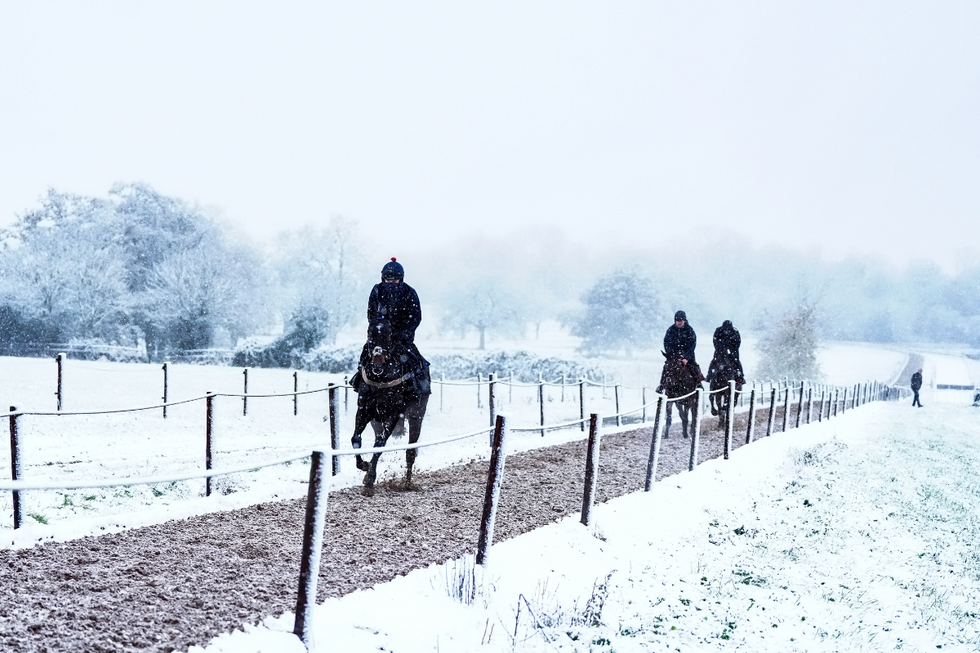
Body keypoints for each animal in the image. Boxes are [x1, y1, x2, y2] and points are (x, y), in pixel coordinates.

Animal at [352, 318, 428, 492]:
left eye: (388, 335)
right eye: (370, 334)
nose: (377, 365)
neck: (380, 380)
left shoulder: (393, 415)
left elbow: (379, 445)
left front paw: (370, 480)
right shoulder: (364, 411)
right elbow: (356, 439)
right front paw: (364, 466)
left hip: (416, 417)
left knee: (410, 452)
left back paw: (407, 483)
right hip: (375, 422)